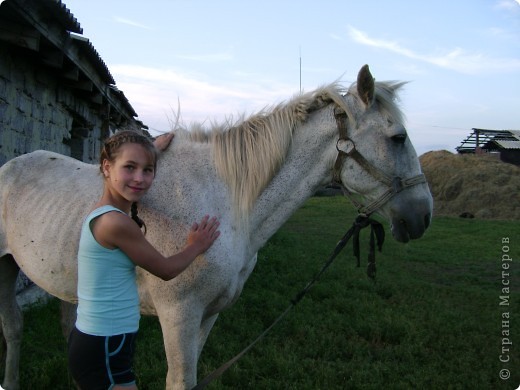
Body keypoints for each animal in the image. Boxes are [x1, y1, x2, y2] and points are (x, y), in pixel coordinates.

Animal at [0, 65, 430, 388]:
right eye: (398, 137)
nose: (423, 216)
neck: (223, 203)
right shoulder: (179, 315)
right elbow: (179, 381)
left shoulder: (208, 316)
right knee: (14, 328)